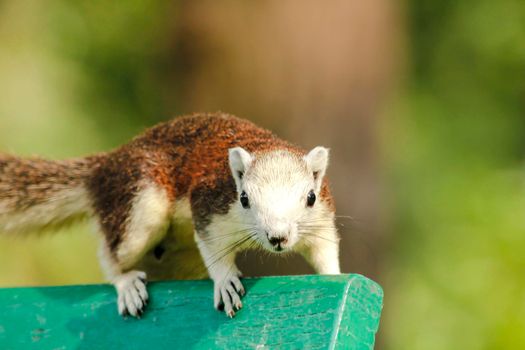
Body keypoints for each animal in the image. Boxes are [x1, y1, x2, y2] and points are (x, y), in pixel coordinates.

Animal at [0, 112, 340, 318]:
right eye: (244, 198)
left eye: (310, 197)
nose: (277, 237)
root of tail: (104, 168)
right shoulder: (209, 207)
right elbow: (213, 250)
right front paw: (226, 282)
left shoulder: (322, 217)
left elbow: (325, 251)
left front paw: (336, 276)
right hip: (140, 205)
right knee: (111, 253)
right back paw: (127, 285)